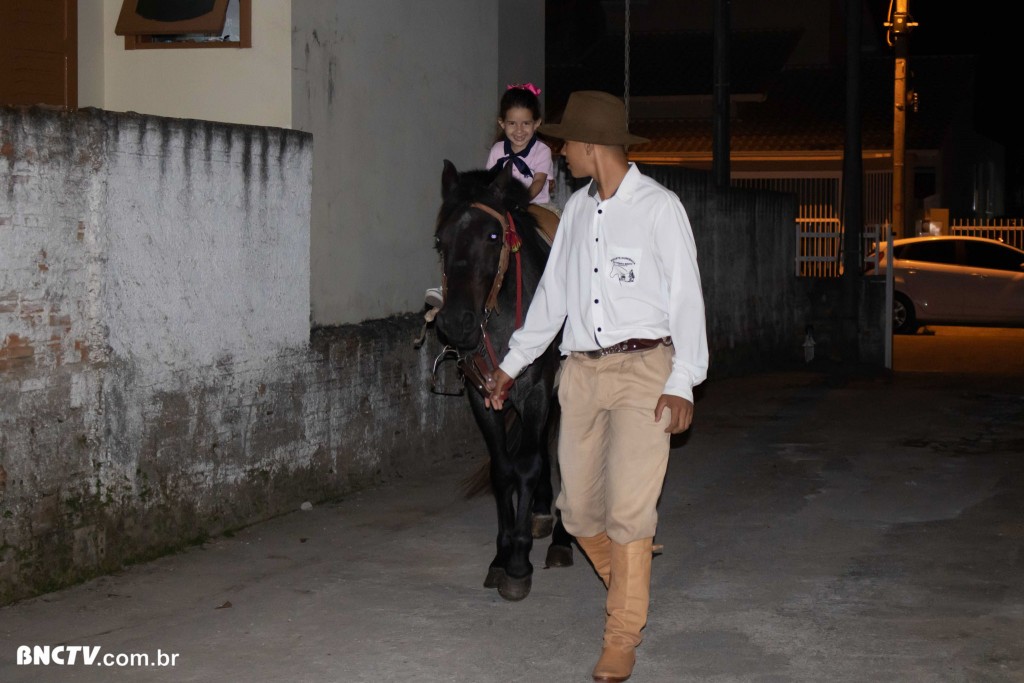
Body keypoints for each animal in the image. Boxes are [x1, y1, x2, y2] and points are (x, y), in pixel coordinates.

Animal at [431, 159, 574, 601]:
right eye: (440, 240)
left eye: (493, 236)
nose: (455, 323)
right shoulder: (482, 396)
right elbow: (503, 471)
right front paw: (501, 554)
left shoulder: (538, 390)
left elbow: (527, 465)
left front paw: (518, 563)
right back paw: (542, 513)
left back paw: (562, 538)